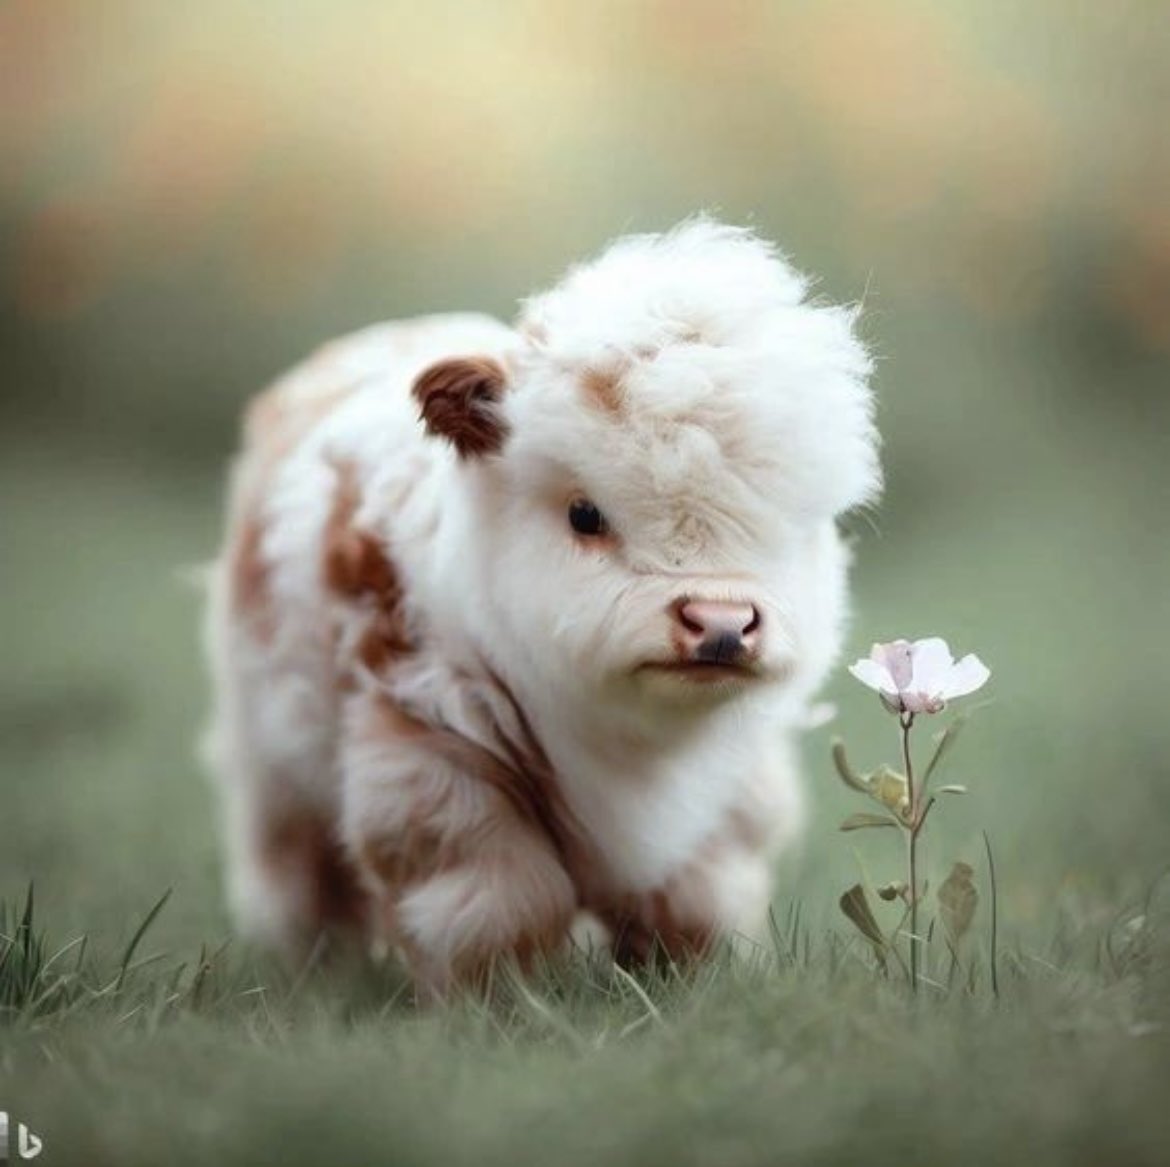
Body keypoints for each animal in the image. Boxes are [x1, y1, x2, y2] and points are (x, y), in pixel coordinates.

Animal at [201, 218, 880, 995]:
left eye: (791, 519)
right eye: (585, 514)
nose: (720, 623)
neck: (630, 748)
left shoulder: (726, 802)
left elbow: (696, 902)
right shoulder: (431, 759)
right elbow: (499, 902)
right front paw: (499, 1001)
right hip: (274, 769)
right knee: (302, 879)